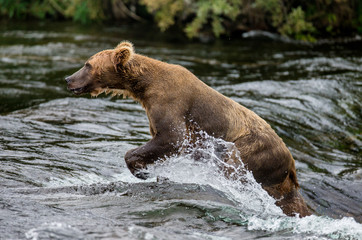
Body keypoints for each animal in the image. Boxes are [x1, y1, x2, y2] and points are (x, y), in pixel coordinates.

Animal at [66, 40, 312, 218]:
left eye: (87, 64)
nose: (68, 79)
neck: (144, 87)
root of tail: (291, 162)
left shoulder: (171, 103)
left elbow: (171, 137)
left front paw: (141, 170)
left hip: (251, 150)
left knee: (235, 167)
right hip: (279, 181)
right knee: (291, 201)